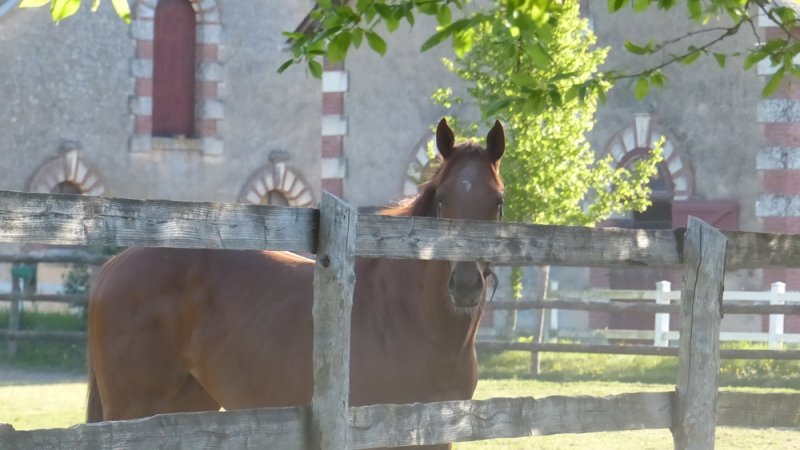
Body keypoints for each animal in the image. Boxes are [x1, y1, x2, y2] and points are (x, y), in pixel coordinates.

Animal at [86, 118, 506, 449]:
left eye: (498, 202)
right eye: (443, 200)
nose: (465, 284)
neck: (413, 319)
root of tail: (113, 265)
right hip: (132, 410)